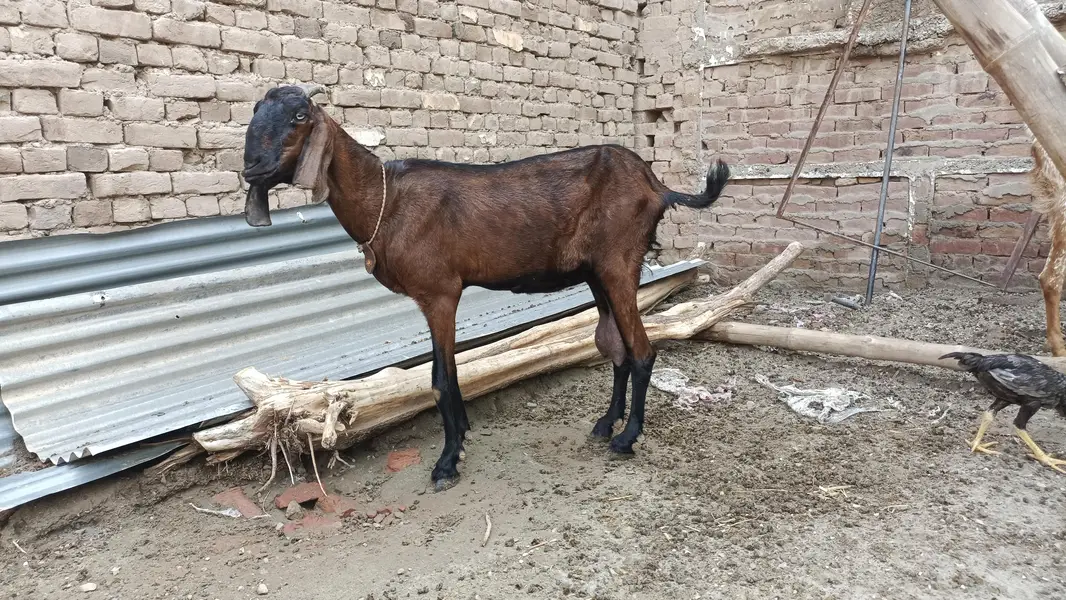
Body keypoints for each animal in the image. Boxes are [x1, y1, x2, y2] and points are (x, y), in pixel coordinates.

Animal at [242, 84, 731, 491]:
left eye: (299, 116)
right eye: (256, 111)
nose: (252, 166)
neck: (387, 199)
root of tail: (657, 186)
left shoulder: (440, 293)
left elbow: (441, 379)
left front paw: (446, 462)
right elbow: (450, 374)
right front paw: (460, 439)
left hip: (618, 263)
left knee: (642, 352)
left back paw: (626, 438)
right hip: (597, 273)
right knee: (617, 349)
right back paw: (605, 423)